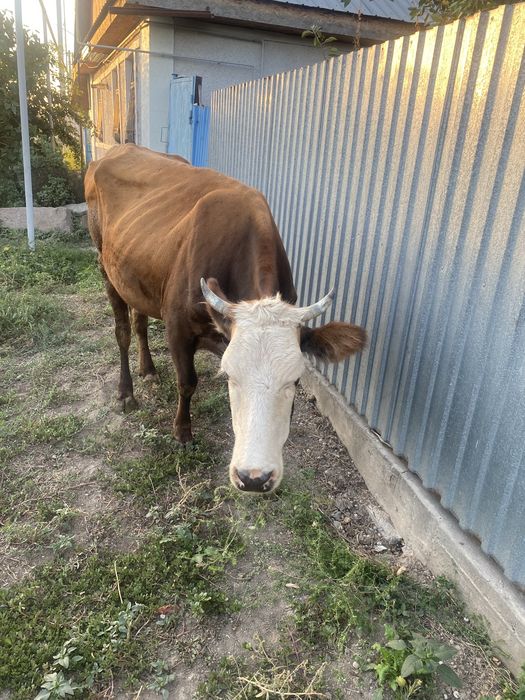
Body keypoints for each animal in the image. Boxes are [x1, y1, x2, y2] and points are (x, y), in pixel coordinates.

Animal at [85, 144, 366, 494]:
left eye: (295, 381)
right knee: (122, 331)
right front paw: (182, 432)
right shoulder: (177, 327)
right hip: (105, 266)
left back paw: (148, 370)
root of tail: (118, 149)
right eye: (229, 376)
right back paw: (126, 393)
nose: (255, 478)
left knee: (139, 322)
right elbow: (187, 382)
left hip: (136, 275)